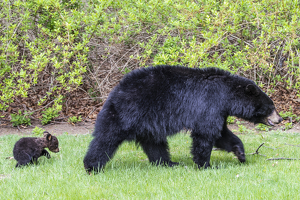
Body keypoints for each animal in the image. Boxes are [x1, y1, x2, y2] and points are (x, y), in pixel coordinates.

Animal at [83, 65, 282, 172]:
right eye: (271, 107)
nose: (280, 119)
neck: (227, 95)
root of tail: (116, 89)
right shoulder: (210, 104)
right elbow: (205, 135)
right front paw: (206, 165)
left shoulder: (219, 110)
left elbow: (222, 134)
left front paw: (240, 154)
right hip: (127, 112)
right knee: (106, 137)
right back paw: (91, 166)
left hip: (148, 123)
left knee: (155, 144)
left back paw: (168, 163)